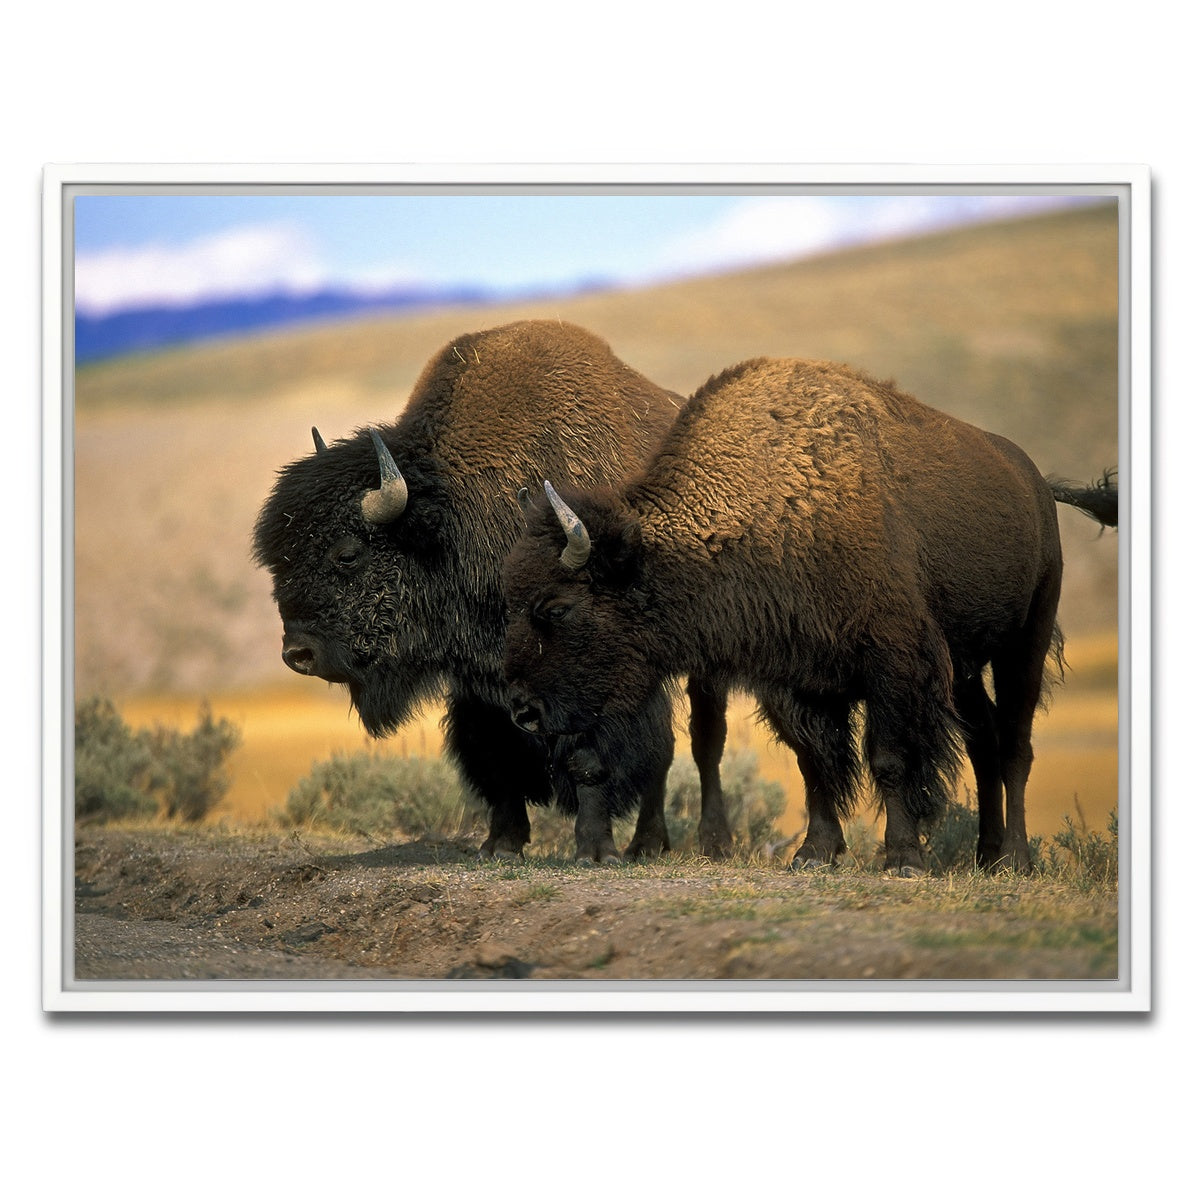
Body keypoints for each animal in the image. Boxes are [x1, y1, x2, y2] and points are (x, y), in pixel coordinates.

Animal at [253, 319, 727, 862]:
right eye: (278, 560)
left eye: (348, 554)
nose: (298, 653)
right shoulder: (479, 681)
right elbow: (497, 754)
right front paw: (501, 843)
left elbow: (592, 756)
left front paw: (594, 850)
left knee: (698, 742)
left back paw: (680, 843)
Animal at [502, 356, 1117, 874]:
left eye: (556, 607)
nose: (523, 710)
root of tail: (1035, 482)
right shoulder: (797, 680)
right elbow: (815, 762)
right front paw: (815, 854)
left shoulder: (894, 663)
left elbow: (889, 758)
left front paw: (903, 858)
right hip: (964, 665)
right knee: (983, 740)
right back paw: (985, 856)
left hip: (1025, 642)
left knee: (1015, 744)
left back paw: (1015, 858)